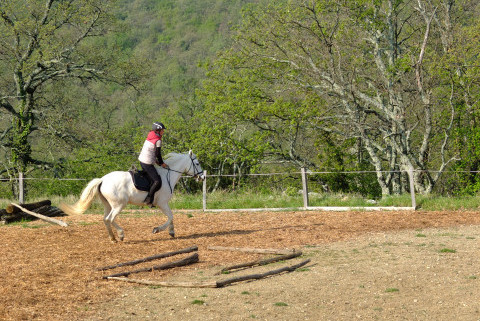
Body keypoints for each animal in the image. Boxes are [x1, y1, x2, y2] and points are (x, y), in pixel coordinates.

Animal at [59, 151, 202, 241]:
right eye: (197, 163)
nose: (202, 176)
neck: (167, 175)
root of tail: (102, 180)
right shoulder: (162, 203)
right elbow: (171, 216)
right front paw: (159, 230)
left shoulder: (163, 204)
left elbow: (171, 217)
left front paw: (171, 232)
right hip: (119, 205)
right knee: (110, 219)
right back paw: (121, 234)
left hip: (108, 205)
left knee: (105, 219)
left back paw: (113, 238)